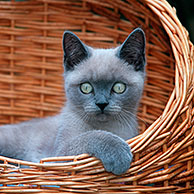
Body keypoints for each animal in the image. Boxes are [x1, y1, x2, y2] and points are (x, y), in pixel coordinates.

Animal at [0, 28, 146, 176]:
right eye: (86, 87)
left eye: (119, 87)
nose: (102, 104)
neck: (108, 127)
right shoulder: (59, 156)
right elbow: (91, 136)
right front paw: (120, 155)